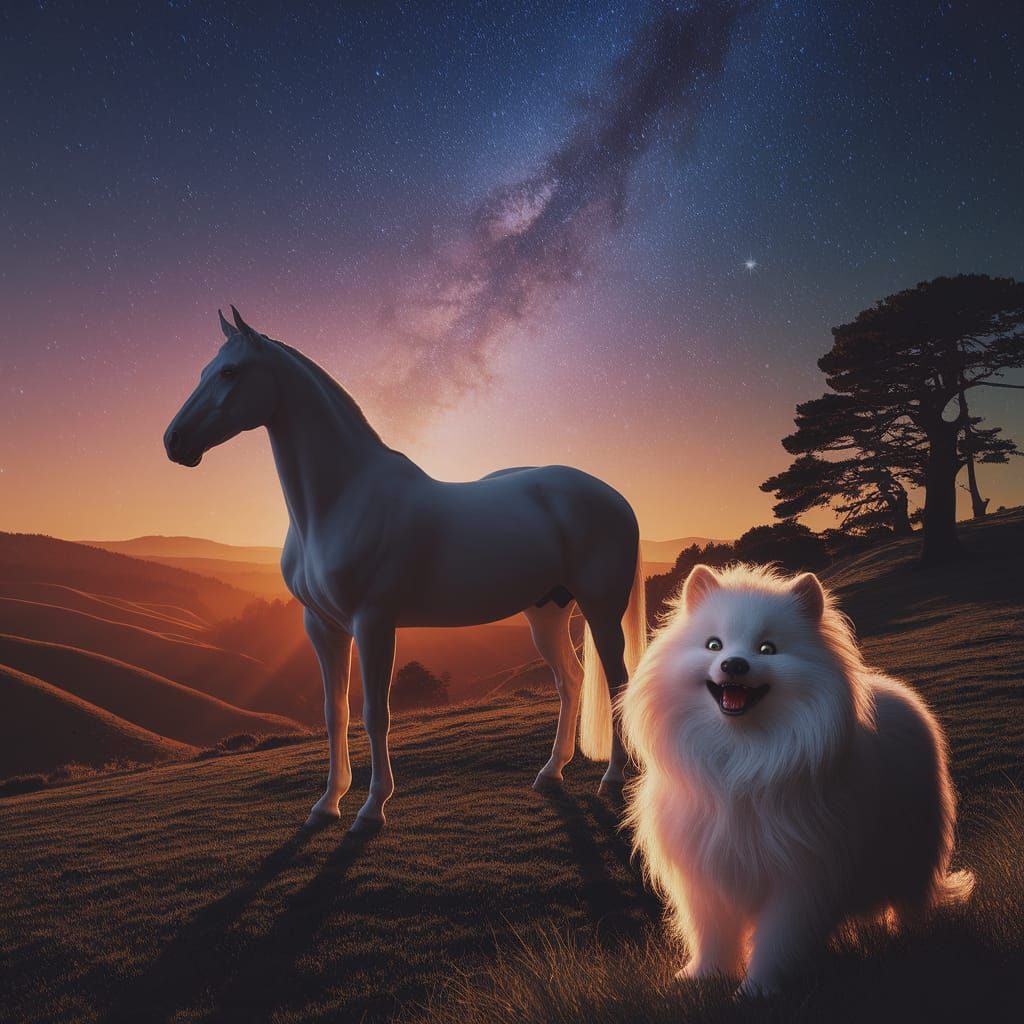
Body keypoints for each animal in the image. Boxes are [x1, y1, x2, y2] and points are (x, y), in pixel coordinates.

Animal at [164, 307, 646, 832]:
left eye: (230, 373)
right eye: (204, 372)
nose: (174, 441)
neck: (341, 500)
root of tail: (615, 498)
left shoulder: (374, 623)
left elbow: (377, 713)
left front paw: (372, 809)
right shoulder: (322, 626)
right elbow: (335, 712)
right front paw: (327, 803)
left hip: (600, 610)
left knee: (617, 682)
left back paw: (612, 778)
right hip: (548, 611)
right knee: (571, 681)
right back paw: (550, 773)